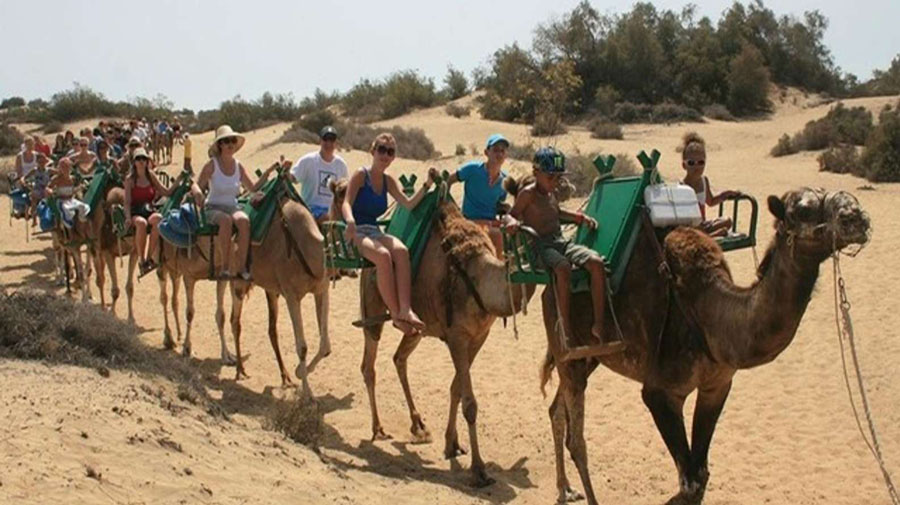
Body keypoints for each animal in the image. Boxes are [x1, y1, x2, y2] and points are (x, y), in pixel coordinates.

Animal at [330, 173, 536, 484]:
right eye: (534, 190)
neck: (480, 277)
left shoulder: (479, 336)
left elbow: (456, 389)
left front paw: (453, 444)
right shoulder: (457, 336)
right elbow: (470, 402)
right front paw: (479, 469)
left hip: (417, 326)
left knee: (399, 358)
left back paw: (418, 425)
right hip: (372, 307)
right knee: (369, 365)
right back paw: (378, 428)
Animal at [536, 186, 872, 504]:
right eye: (802, 209)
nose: (856, 217)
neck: (711, 316)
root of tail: (548, 288)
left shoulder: (718, 384)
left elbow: (702, 472)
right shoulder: (661, 392)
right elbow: (690, 482)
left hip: (590, 355)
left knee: (556, 411)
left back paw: (566, 489)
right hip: (567, 347)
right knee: (576, 438)